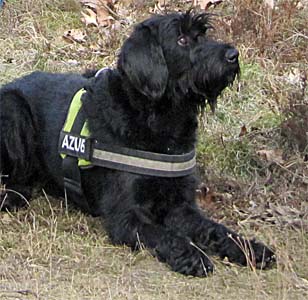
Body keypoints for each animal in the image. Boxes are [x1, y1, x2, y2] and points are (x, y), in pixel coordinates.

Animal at [0, 12, 274, 276]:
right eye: (181, 39)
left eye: (203, 34)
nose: (233, 55)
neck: (161, 120)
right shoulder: (126, 218)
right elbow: (165, 235)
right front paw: (192, 255)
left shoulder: (181, 207)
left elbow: (215, 229)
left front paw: (249, 248)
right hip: (14, 111)